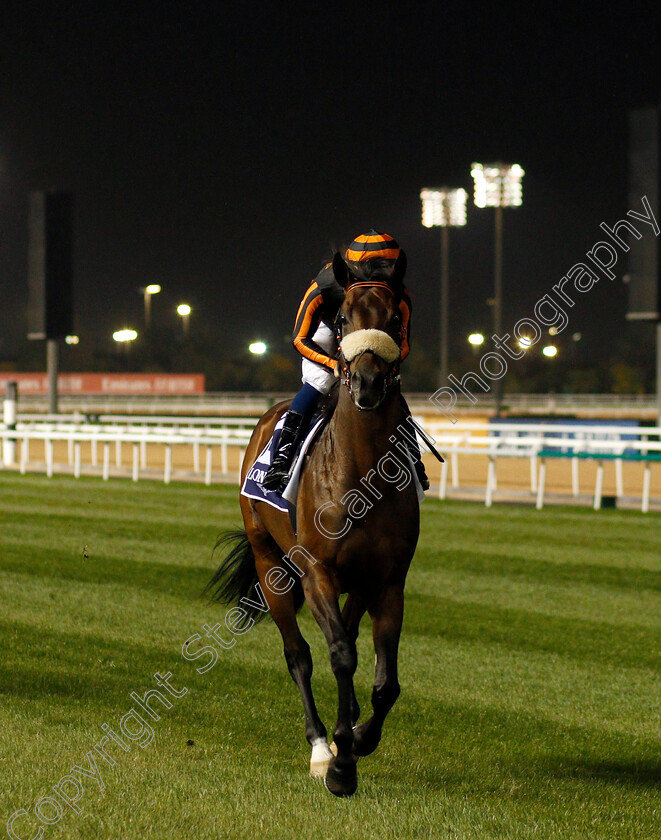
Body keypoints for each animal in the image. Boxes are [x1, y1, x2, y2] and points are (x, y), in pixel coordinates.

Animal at [208, 249, 418, 796]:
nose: (367, 383)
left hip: (357, 582)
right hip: (271, 565)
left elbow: (386, 683)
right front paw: (341, 764)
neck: (360, 470)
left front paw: (361, 736)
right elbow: (339, 655)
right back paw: (322, 745)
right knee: (299, 653)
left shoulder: (388, 580)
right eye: (342, 319)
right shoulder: (317, 571)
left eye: (395, 319)